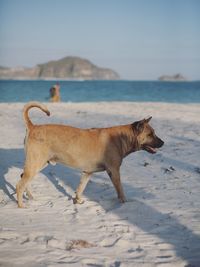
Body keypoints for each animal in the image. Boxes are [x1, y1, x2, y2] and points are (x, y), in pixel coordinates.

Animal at [16, 101, 164, 208]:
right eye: (150, 134)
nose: (163, 143)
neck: (122, 137)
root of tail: (33, 127)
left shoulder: (87, 172)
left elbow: (81, 187)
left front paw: (77, 200)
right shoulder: (114, 171)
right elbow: (120, 190)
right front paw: (124, 203)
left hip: (39, 164)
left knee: (23, 178)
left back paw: (30, 197)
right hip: (35, 163)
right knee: (20, 184)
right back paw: (21, 205)